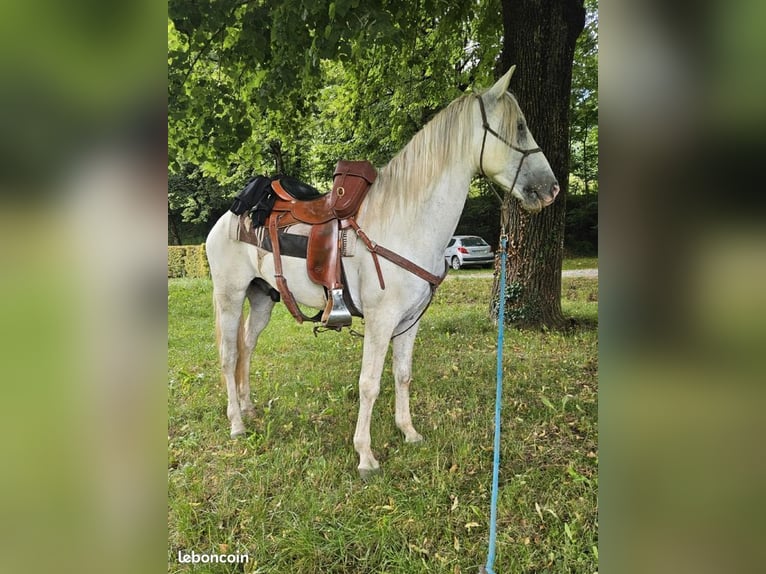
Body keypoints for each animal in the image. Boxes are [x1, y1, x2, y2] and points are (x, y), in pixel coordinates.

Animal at [207, 66, 560, 482]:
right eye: (520, 127)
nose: (551, 188)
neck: (405, 222)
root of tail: (229, 216)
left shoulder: (408, 322)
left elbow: (402, 374)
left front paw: (409, 432)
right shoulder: (380, 320)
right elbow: (369, 384)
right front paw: (365, 455)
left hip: (263, 297)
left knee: (247, 346)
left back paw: (248, 408)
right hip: (230, 297)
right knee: (229, 354)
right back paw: (236, 423)